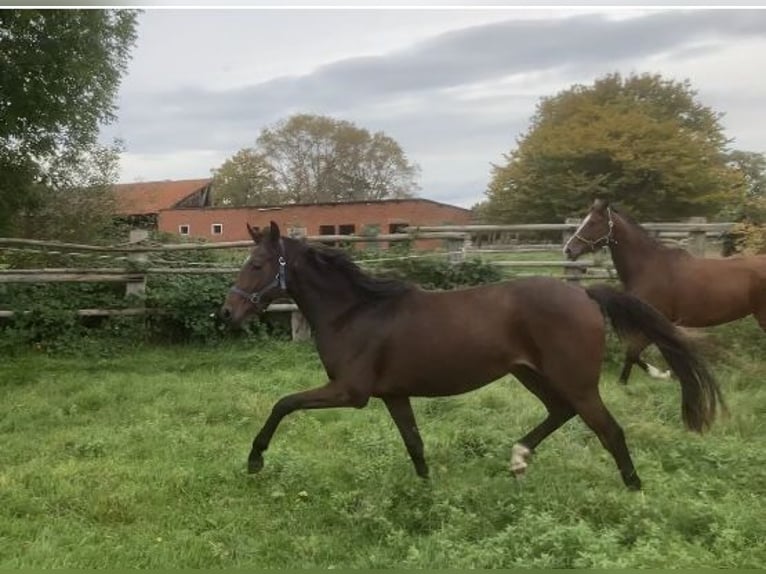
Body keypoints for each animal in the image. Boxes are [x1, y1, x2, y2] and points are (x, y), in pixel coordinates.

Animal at [222, 220, 728, 490]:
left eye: (257, 264)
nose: (227, 311)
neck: (355, 312)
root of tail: (585, 294)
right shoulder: (394, 395)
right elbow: (414, 443)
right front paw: (427, 490)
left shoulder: (350, 392)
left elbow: (282, 404)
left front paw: (254, 460)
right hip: (532, 374)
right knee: (560, 412)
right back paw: (519, 458)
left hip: (576, 381)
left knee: (609, 430)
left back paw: (634, 489)